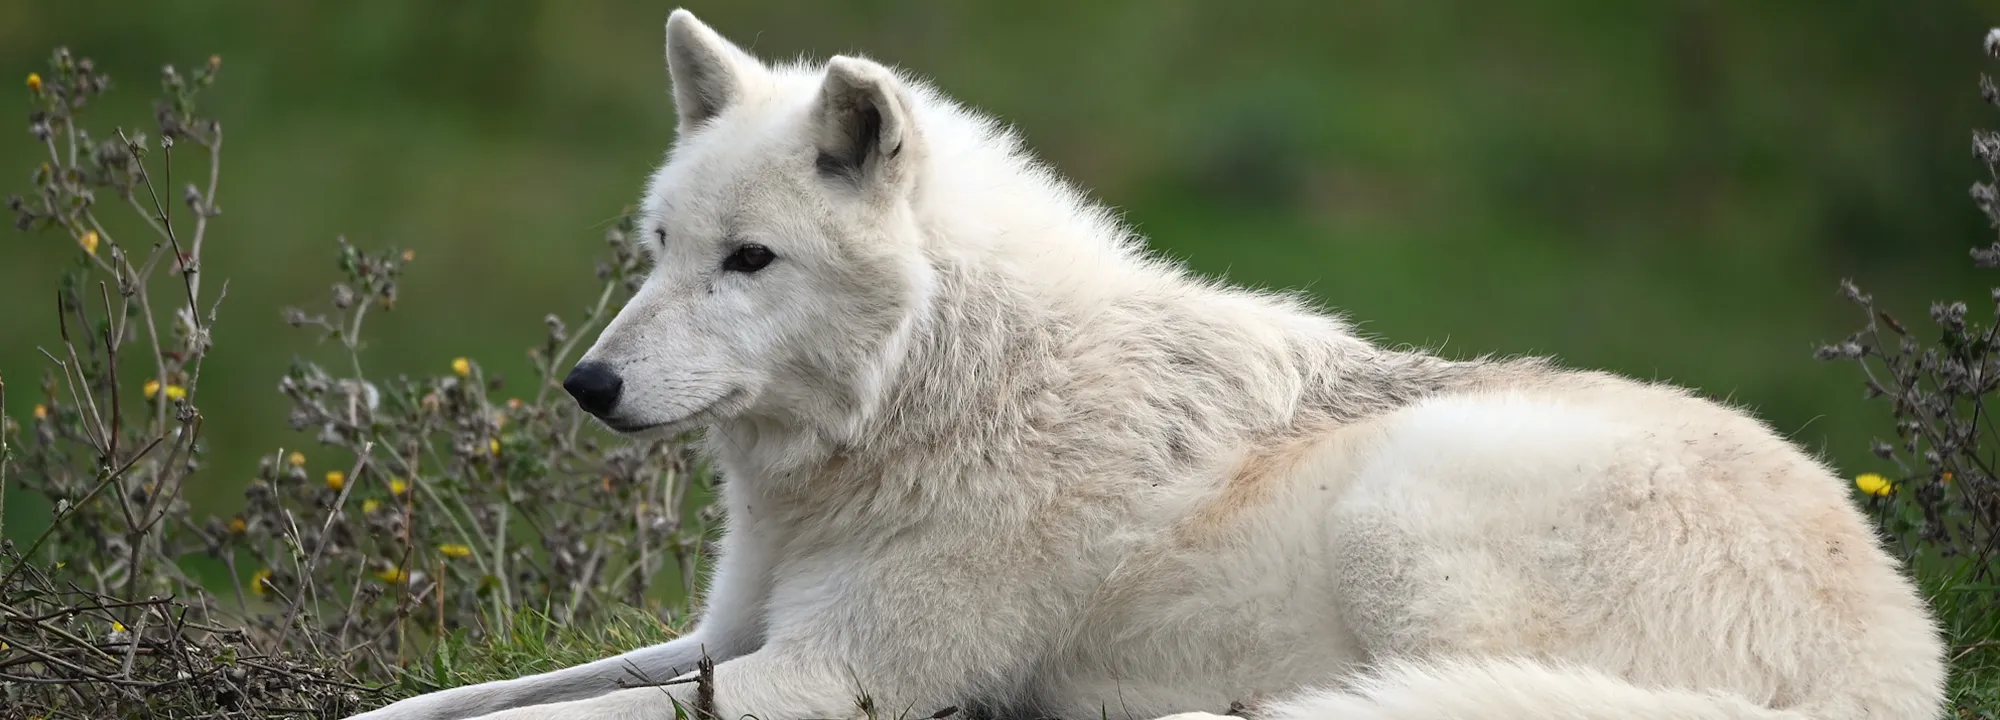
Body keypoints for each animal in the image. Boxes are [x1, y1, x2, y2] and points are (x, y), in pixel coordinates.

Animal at [348, 9, 1947, 720]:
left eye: (752, 262)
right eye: (660, 247)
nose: (588, 389)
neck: (951, 394)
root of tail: (1903, 658)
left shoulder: (826, 676)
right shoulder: (725, 639)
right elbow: (446, 707)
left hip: (1410, 508)